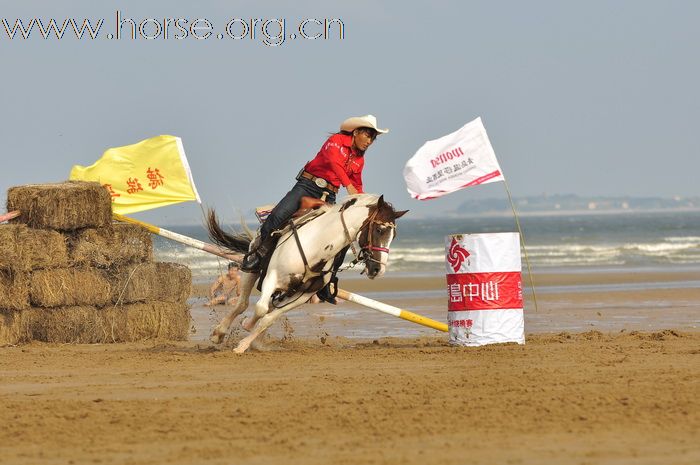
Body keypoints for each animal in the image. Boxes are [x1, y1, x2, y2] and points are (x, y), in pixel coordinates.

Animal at [205, 194, 408, 354]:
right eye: (379, 230)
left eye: (394, 235)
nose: (378, 269)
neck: (318, 246)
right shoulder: (272, 278)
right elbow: (260, 309)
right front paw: (245, 328)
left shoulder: (303, 295)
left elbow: (269, 318)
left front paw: (245, 343)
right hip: (252, 269)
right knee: (243, 303)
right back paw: (218, 334)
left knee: (268, 308)